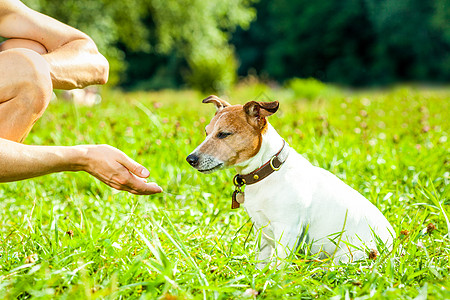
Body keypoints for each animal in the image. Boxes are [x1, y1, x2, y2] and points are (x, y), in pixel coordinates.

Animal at [186, 95, 394, 268]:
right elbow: (261, 263)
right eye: (206, 132)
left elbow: (278, 267)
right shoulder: (262, 231)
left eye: (224, 134)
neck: (267, 170)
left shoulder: (288, 231)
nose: (190, 159)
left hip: (346, 256)